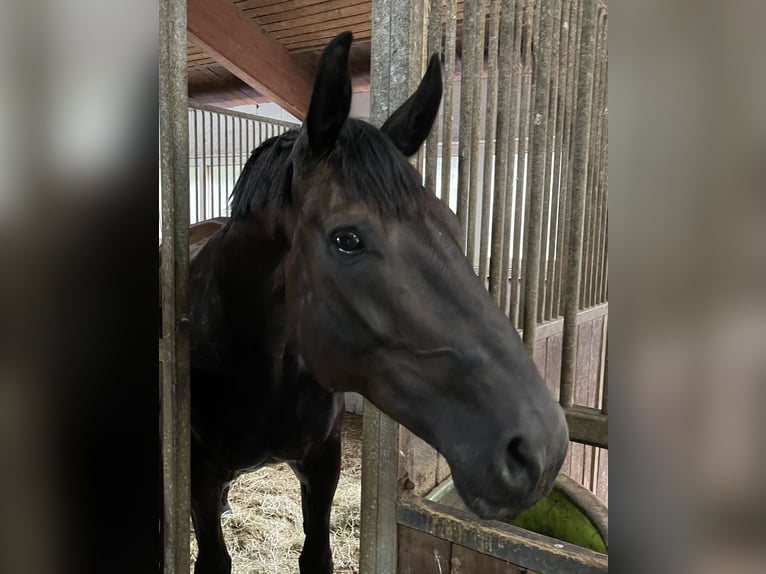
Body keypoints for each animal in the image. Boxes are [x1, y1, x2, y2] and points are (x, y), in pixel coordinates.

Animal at [183, 32, 568, 574]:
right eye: (347, 240)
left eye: (452, 222)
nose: (541, 449)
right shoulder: (199, 475)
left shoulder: (322, 464)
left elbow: (316, 554)